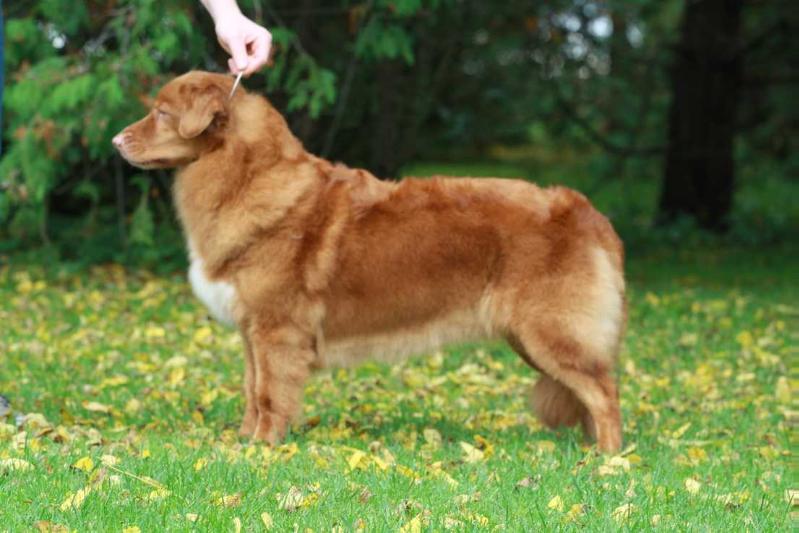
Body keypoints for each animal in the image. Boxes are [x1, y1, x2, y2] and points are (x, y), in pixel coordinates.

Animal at [112, 70, 628, 450]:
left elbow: (268, 392)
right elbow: (250, 388)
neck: (246, 175)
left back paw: (606, 459)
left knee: (604, 391)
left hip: (550, 330)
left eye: (161, 113)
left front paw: (262, 447)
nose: (116, 141)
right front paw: (244, 440)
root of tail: (590, 214)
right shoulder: (251, 329)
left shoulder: (277, 328)